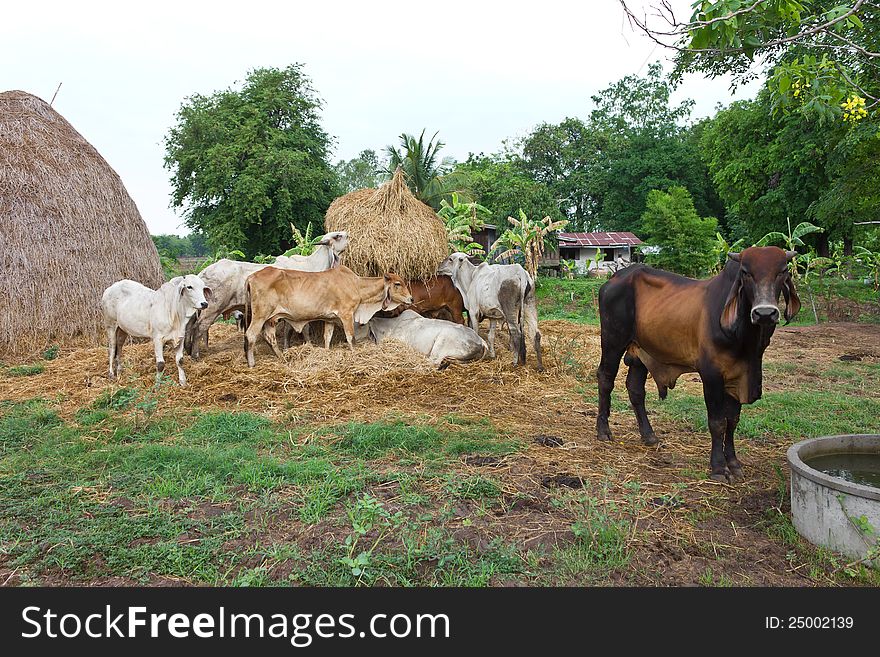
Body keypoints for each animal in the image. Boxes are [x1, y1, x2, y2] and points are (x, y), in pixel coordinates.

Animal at [187, 229, 348, 356]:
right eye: (337, 236)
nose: (348, 234)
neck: (312, 266)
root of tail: (201, 274)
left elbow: (289, 330)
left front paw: (286, 347)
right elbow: (303, 329)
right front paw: (307, 346)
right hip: (212, 309)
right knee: (199, 329)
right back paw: (195, 354)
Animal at [244, 262, 412, 364]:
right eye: (398, 284)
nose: (411, 298)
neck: (356, 285)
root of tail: (251, 276)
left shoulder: (329, 319)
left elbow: (327, 337)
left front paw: (326, 352)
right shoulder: (346, 315)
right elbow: (350, 337)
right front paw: (354, 354)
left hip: (271, 318)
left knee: (269, 336)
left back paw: (281, 358)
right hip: (260, 315)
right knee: (251, 334)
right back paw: (252, 363)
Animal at [596, 246, 800, 482]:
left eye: (783, 270)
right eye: (745, 272)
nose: (765, 313)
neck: (745, 337)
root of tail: (615, 278)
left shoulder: (739, 376)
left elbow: (732, 421)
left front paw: (734, 463)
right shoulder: (711, 375)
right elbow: (717, 422)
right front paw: (719, 468)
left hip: (641, 353)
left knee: (635, 389)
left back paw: (649, 436)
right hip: (613, 341)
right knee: (606, 379)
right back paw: (603, 431)